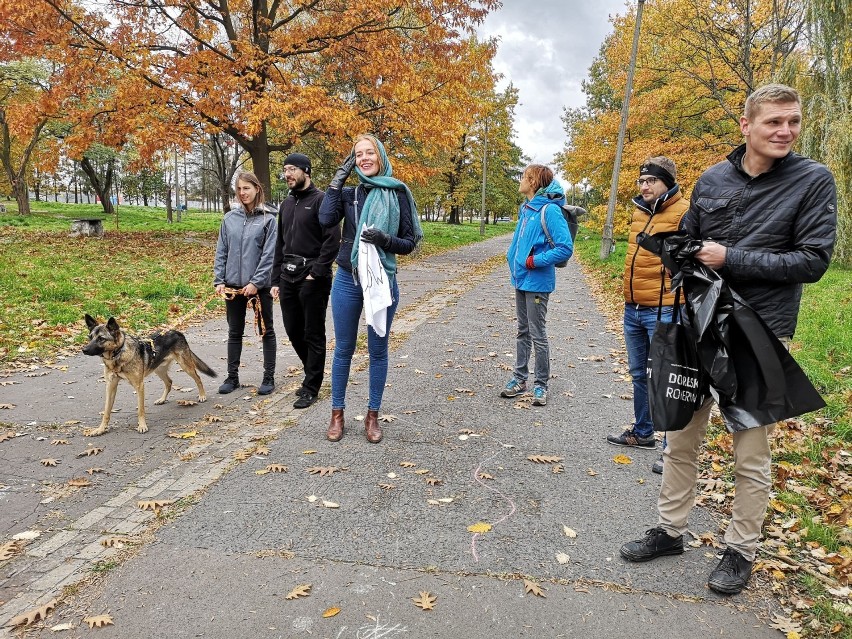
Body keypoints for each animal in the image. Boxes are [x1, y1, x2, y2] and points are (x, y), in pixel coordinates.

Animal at [82, 314, 216, 438]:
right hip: (158, 369)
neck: (117, 355)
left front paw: (142, 426)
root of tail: (176, 332)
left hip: (185, 366)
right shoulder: (110, 386)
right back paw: (162, 399)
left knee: (198, 378)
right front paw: (100, 429)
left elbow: (141, 410)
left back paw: (202, 395)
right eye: (90, 337)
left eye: (101, 338)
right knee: (169, 382)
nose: (84, 350)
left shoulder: (139, 386)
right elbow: (106, 412)